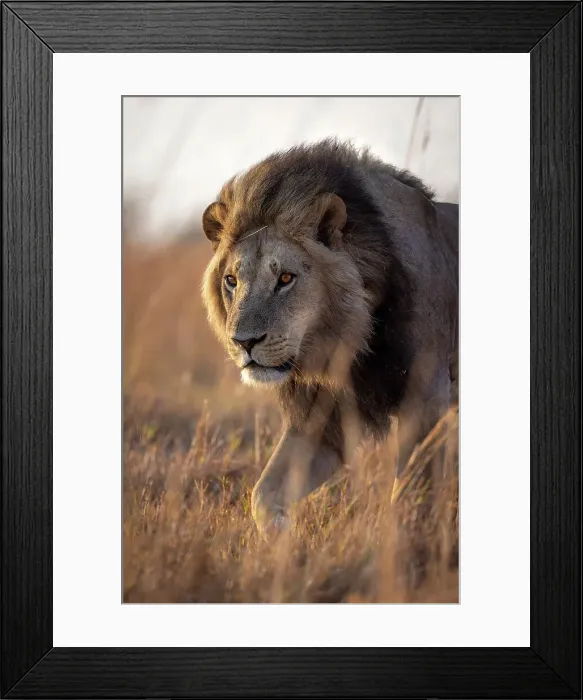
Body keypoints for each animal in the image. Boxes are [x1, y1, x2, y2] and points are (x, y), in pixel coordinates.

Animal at [201, 139, 458, 541]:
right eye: (232, 280)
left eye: (285, 278)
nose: (243, 342)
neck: (350, 338)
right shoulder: (320, 421)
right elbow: (263, 493)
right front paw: (282, 539)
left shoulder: (428, 399)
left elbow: (412, 492)